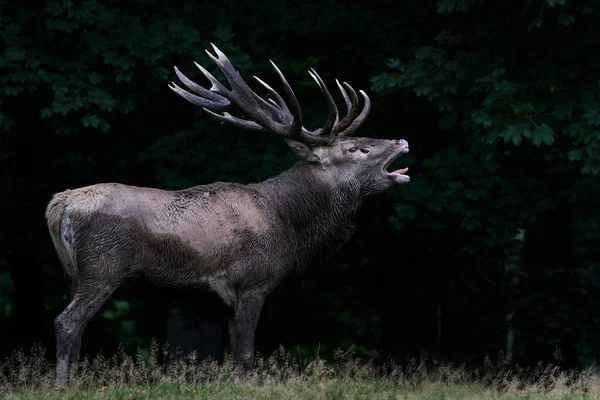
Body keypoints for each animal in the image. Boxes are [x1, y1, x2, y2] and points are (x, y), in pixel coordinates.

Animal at [45, 44, 412, 388]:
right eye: (356, 149)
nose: (401, 140)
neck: (289, 226)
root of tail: (58, 206)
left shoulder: (227, 296)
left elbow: (236, 353)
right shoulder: (253, 280)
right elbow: (246, 354)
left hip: (72, 273)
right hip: (103, 267)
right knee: (66, 322)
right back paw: (63, 386)